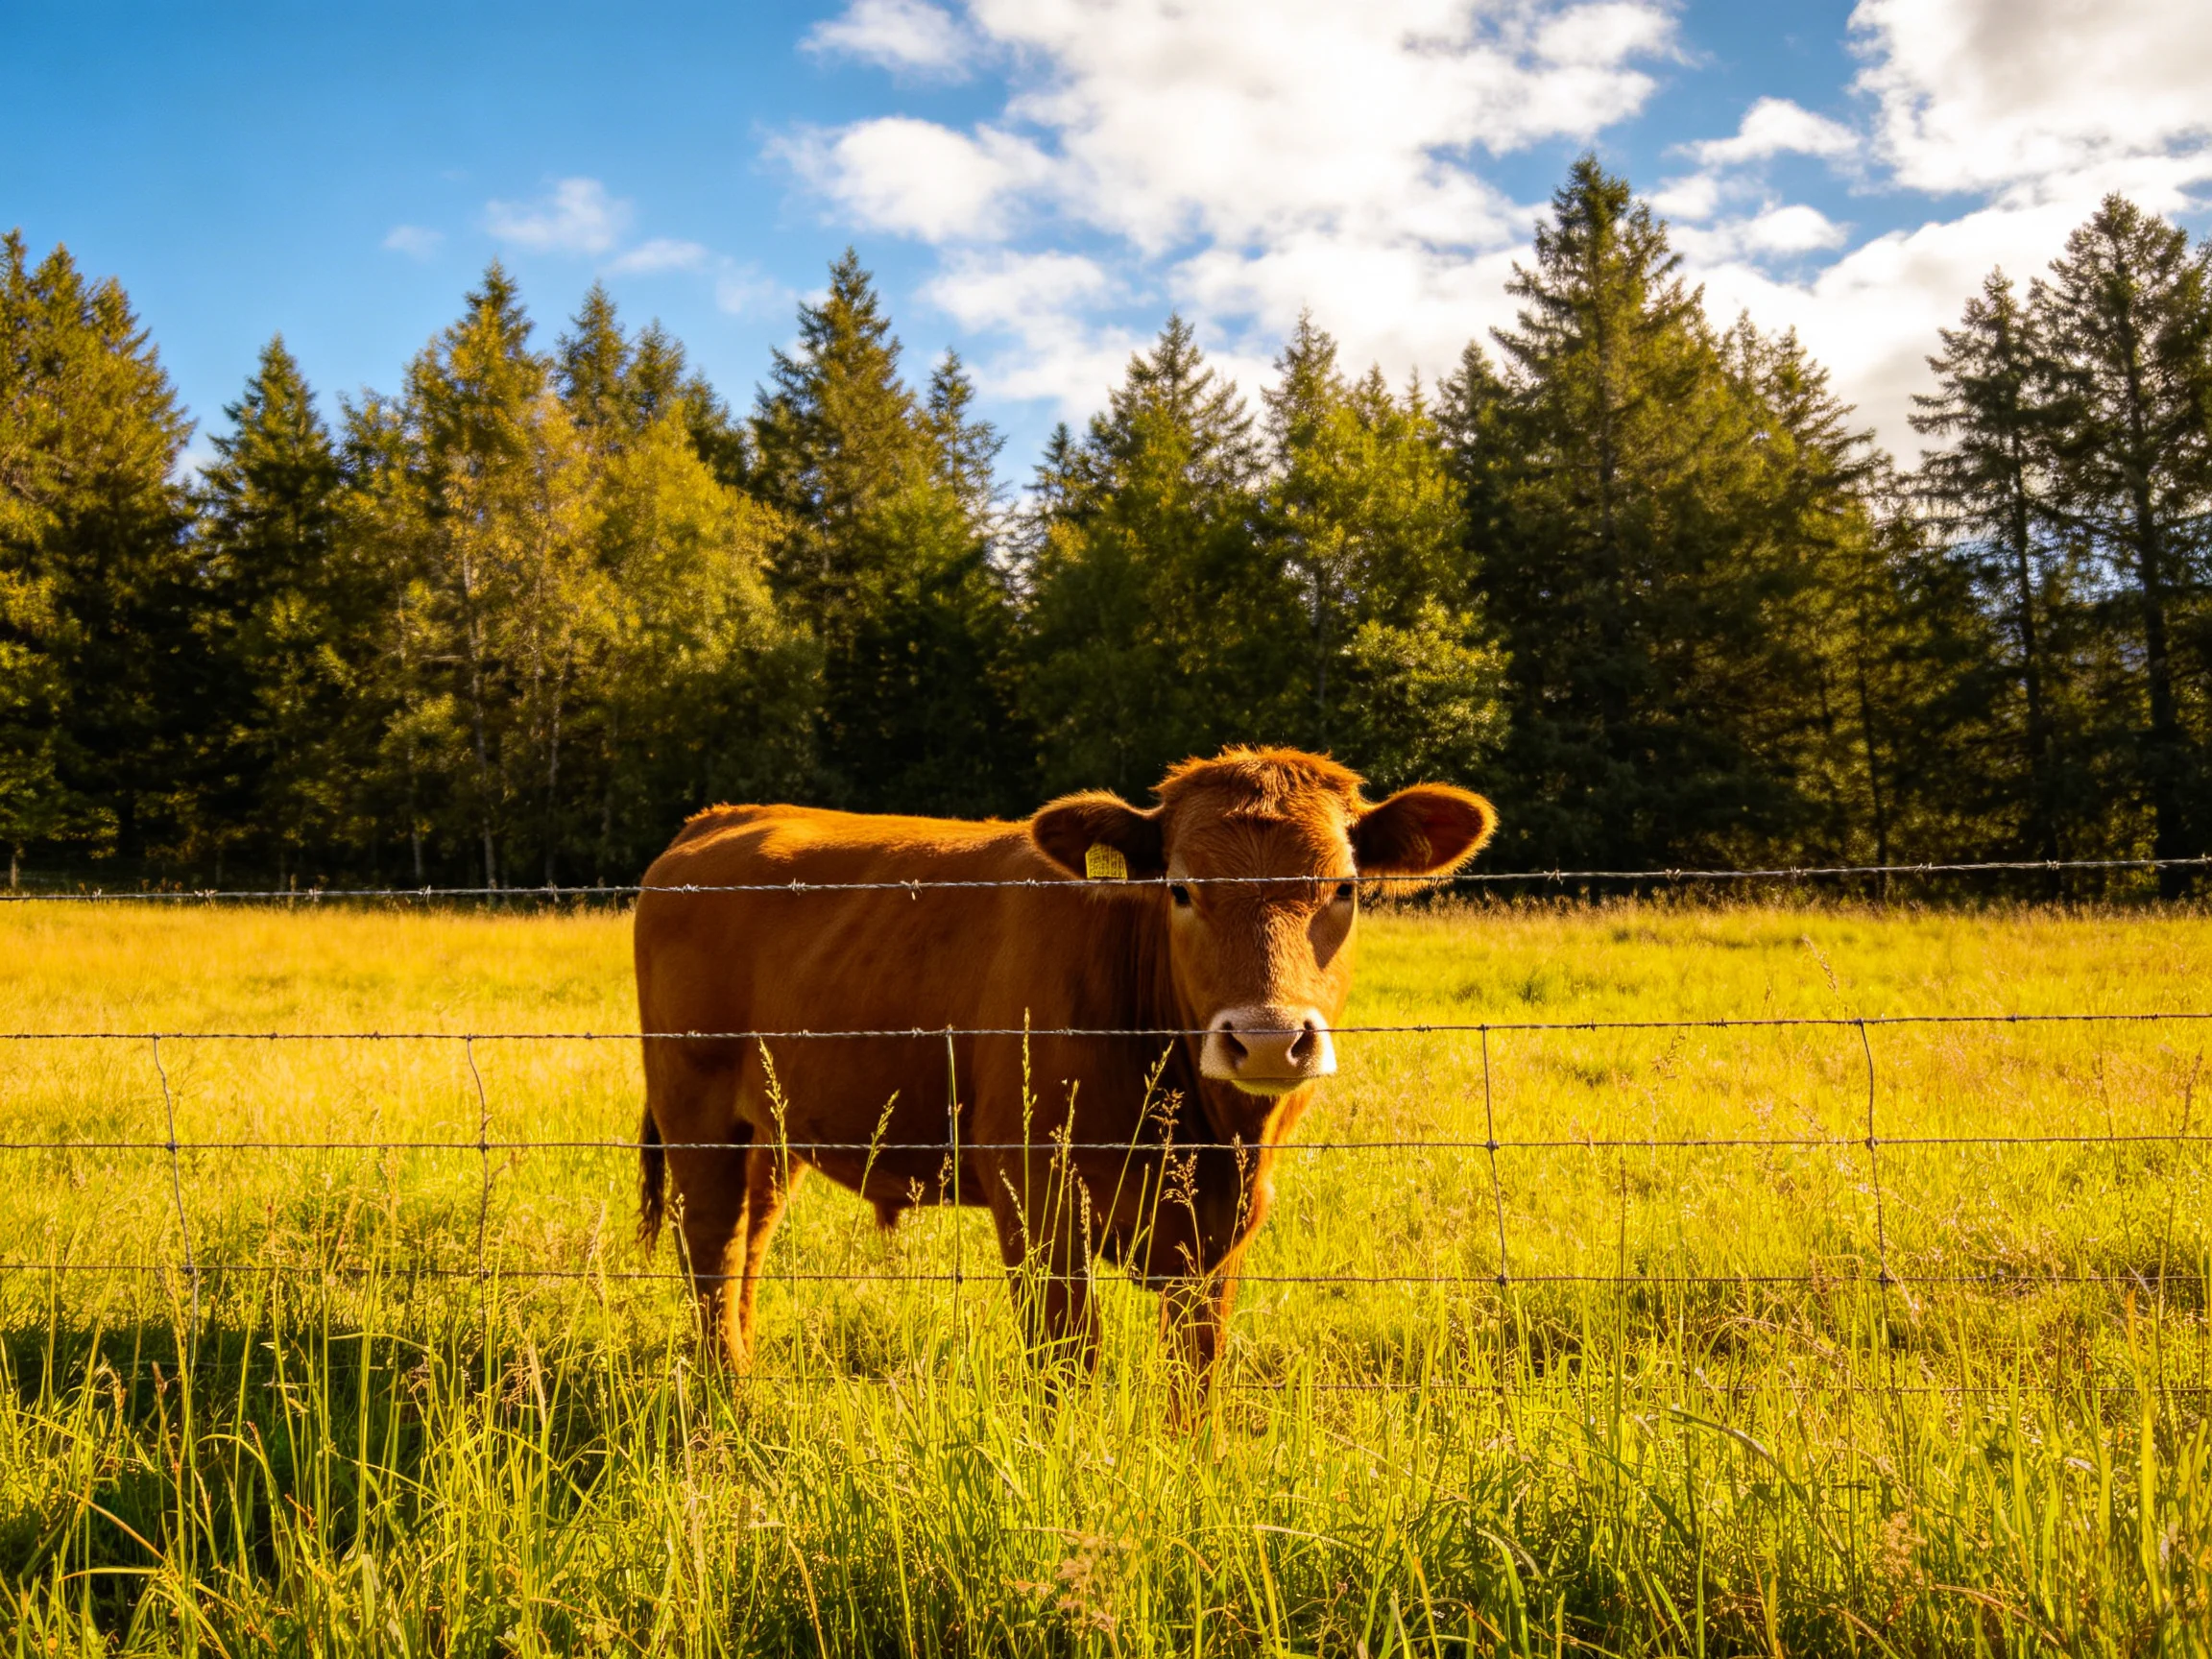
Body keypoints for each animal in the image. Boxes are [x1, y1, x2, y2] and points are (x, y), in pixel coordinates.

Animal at [633, 746, 1495, 1395]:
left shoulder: (1221, 1233)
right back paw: (730, 1394)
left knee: (750, 1243)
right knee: (711, 1245)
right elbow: (1067, 1361)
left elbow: (1198, 1369)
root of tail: (719, 819)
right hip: (695, 1110)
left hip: (770, 1132)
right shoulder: (1035, 1195)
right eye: (1181, 888)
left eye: (1343, 887)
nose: (1266, 1040)